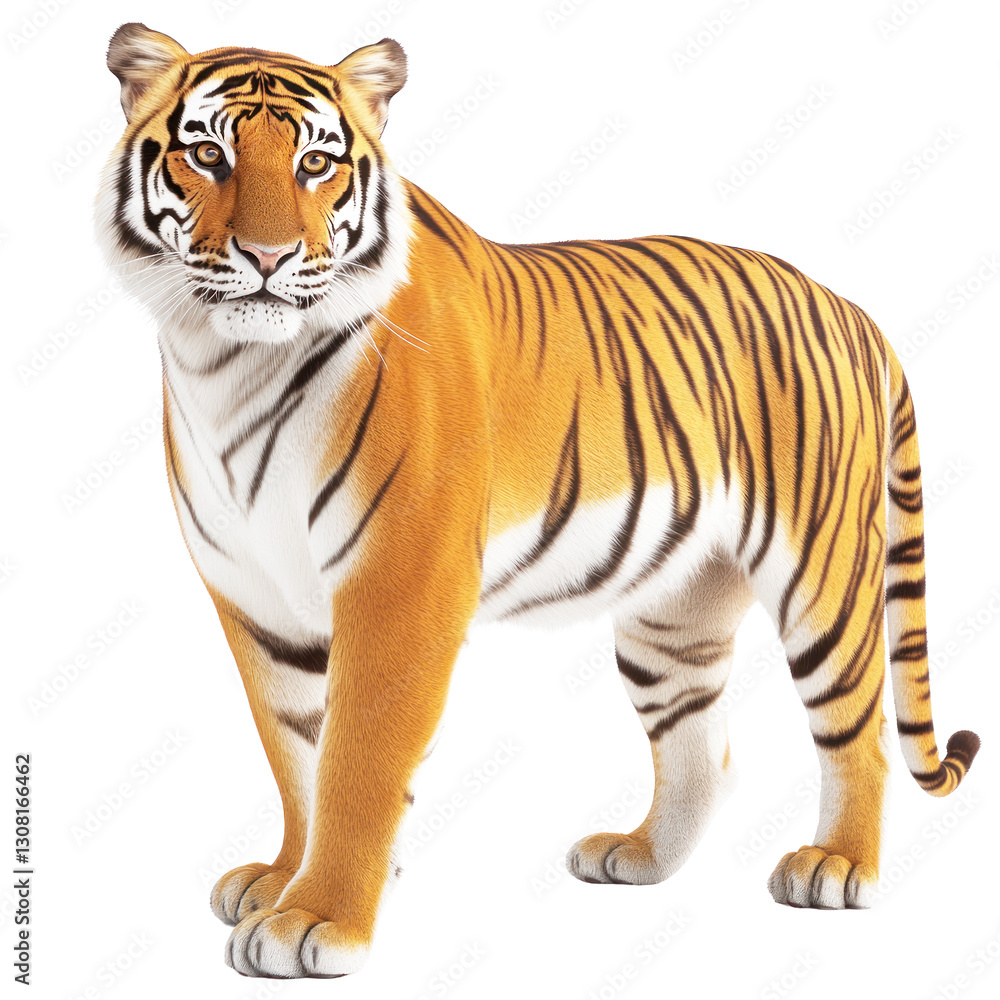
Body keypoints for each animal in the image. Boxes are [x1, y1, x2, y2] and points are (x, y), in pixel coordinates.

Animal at [97, 22, 980, 980]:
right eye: (208, 155)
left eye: (316, 164)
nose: (267, 259)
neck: (225, 364)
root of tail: (852, 309)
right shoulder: (255, 595)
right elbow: (294, 749)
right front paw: (284, 879)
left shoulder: (398, 584)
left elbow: (355, 760)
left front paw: (317, 919)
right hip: (672, 612)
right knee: (703, 754)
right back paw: (637, 857)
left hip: (823, 573)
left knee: (858, 729)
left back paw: (837, 866)